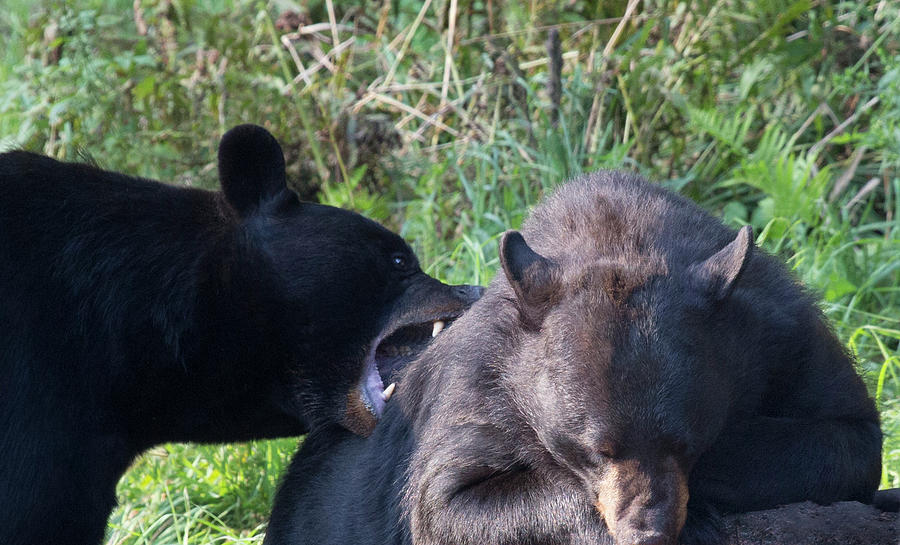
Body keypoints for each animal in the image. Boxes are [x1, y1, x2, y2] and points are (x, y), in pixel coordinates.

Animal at [264, 170, 884, 544]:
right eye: (594, 449)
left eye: (685, 444)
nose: (648, 531)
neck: (619, 236)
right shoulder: (474, 388)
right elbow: (450, 504)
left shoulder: (784, 332)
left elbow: (847, 435)